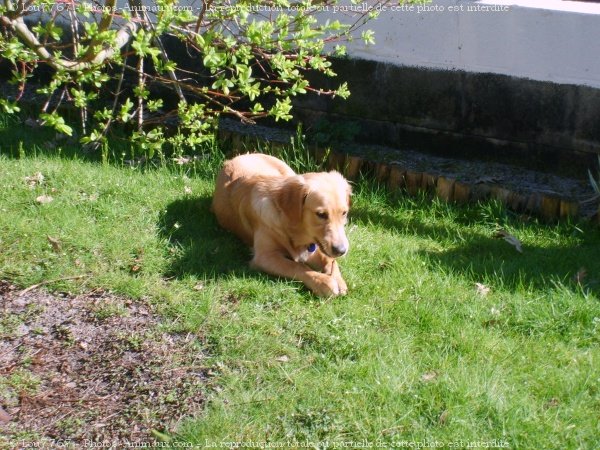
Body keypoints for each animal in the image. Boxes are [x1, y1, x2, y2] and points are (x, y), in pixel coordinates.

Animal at [212, 153, 350, 298]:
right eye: (321, 214)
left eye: (344, 213)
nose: (341, 250)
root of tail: (240, 156)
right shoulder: (265, 257)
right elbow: (297, 266)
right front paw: (323, 281)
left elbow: (330, 261)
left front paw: (338, 279)